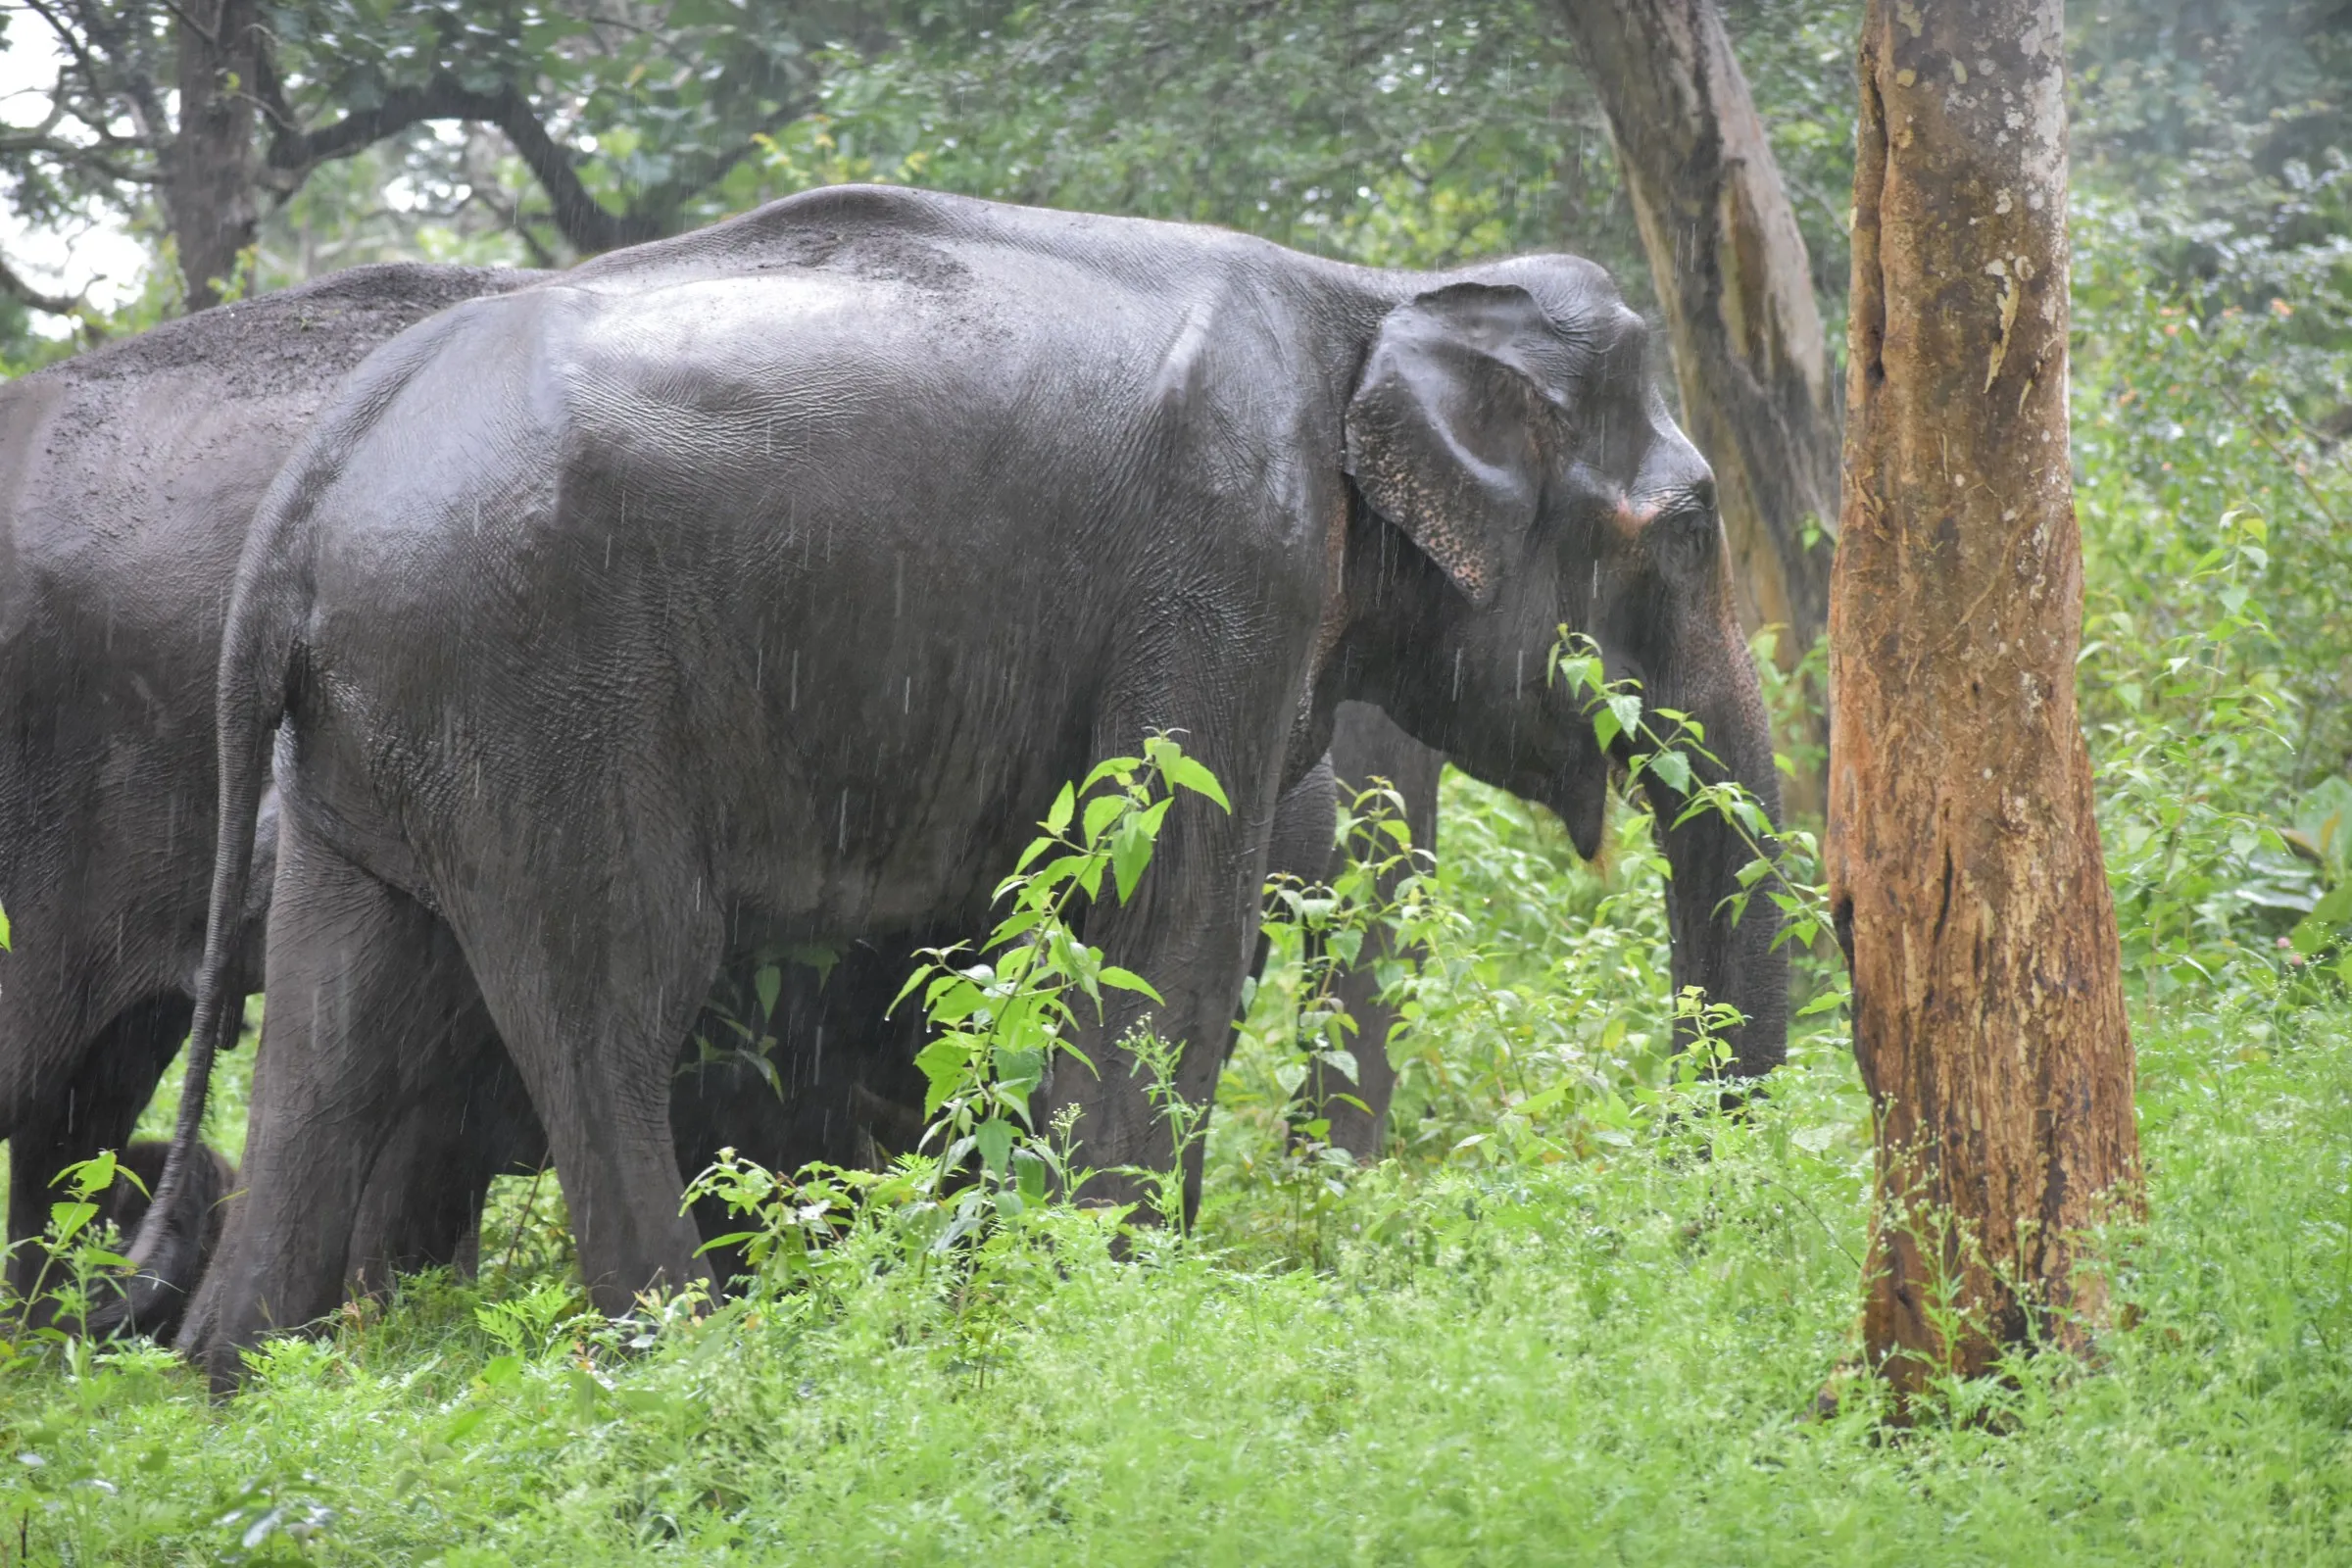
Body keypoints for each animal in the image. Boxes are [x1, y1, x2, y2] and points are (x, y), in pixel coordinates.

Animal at [129, 184, 1784, 1385]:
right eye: (1695, 527)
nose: (1696, 1206)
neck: (1380, 292)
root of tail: (317, 479)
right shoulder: (1227, 566)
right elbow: (1162, 947)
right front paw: (1104, 1314)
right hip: (533, 690)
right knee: (608, 1001)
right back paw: (689, 1368)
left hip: (379, 724)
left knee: (341, 1026)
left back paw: (235, 1394)